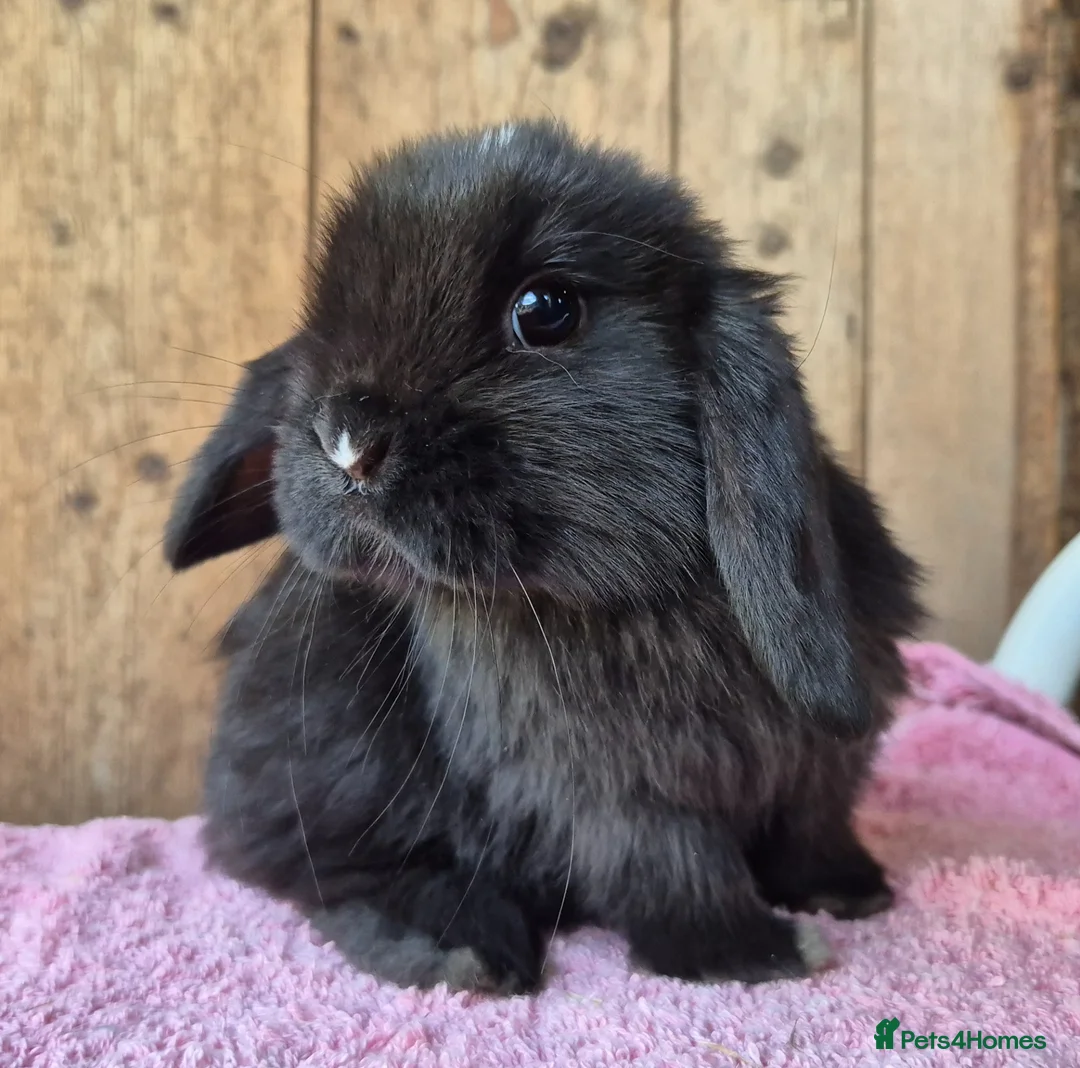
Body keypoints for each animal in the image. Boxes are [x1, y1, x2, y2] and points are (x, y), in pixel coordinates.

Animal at [164, 119, 923, 996]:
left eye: (546, 309)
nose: (346, 439)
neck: (636, 596)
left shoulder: (820, 766)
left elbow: (812, 827)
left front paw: (850, 891)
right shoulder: (608, 789)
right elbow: (672, 866)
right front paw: (750, 952)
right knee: (324, 870)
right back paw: (460, 945)